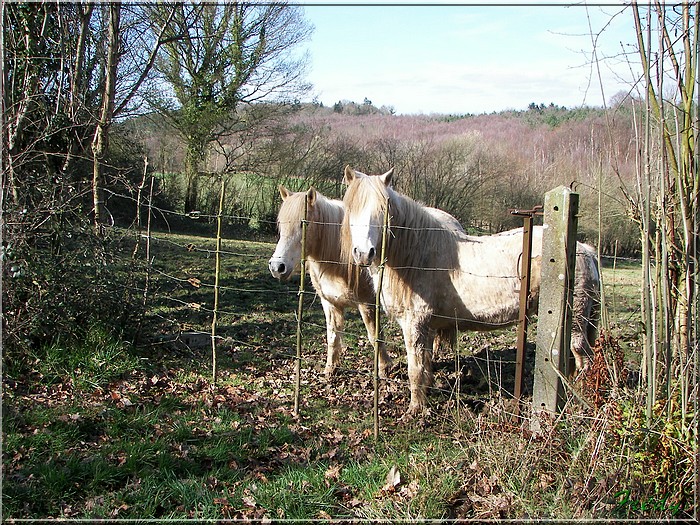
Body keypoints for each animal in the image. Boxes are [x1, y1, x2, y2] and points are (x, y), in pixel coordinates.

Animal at [342, 166, 600, 416]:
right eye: (352, 210)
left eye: (382, 211)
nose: (364, 253)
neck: (418, 255)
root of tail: (585, 250)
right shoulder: (428, 326)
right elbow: (425, 363)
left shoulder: (414, 323)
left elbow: (415, 368)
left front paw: (415, 409)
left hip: (576, 323)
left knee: (584, 358)